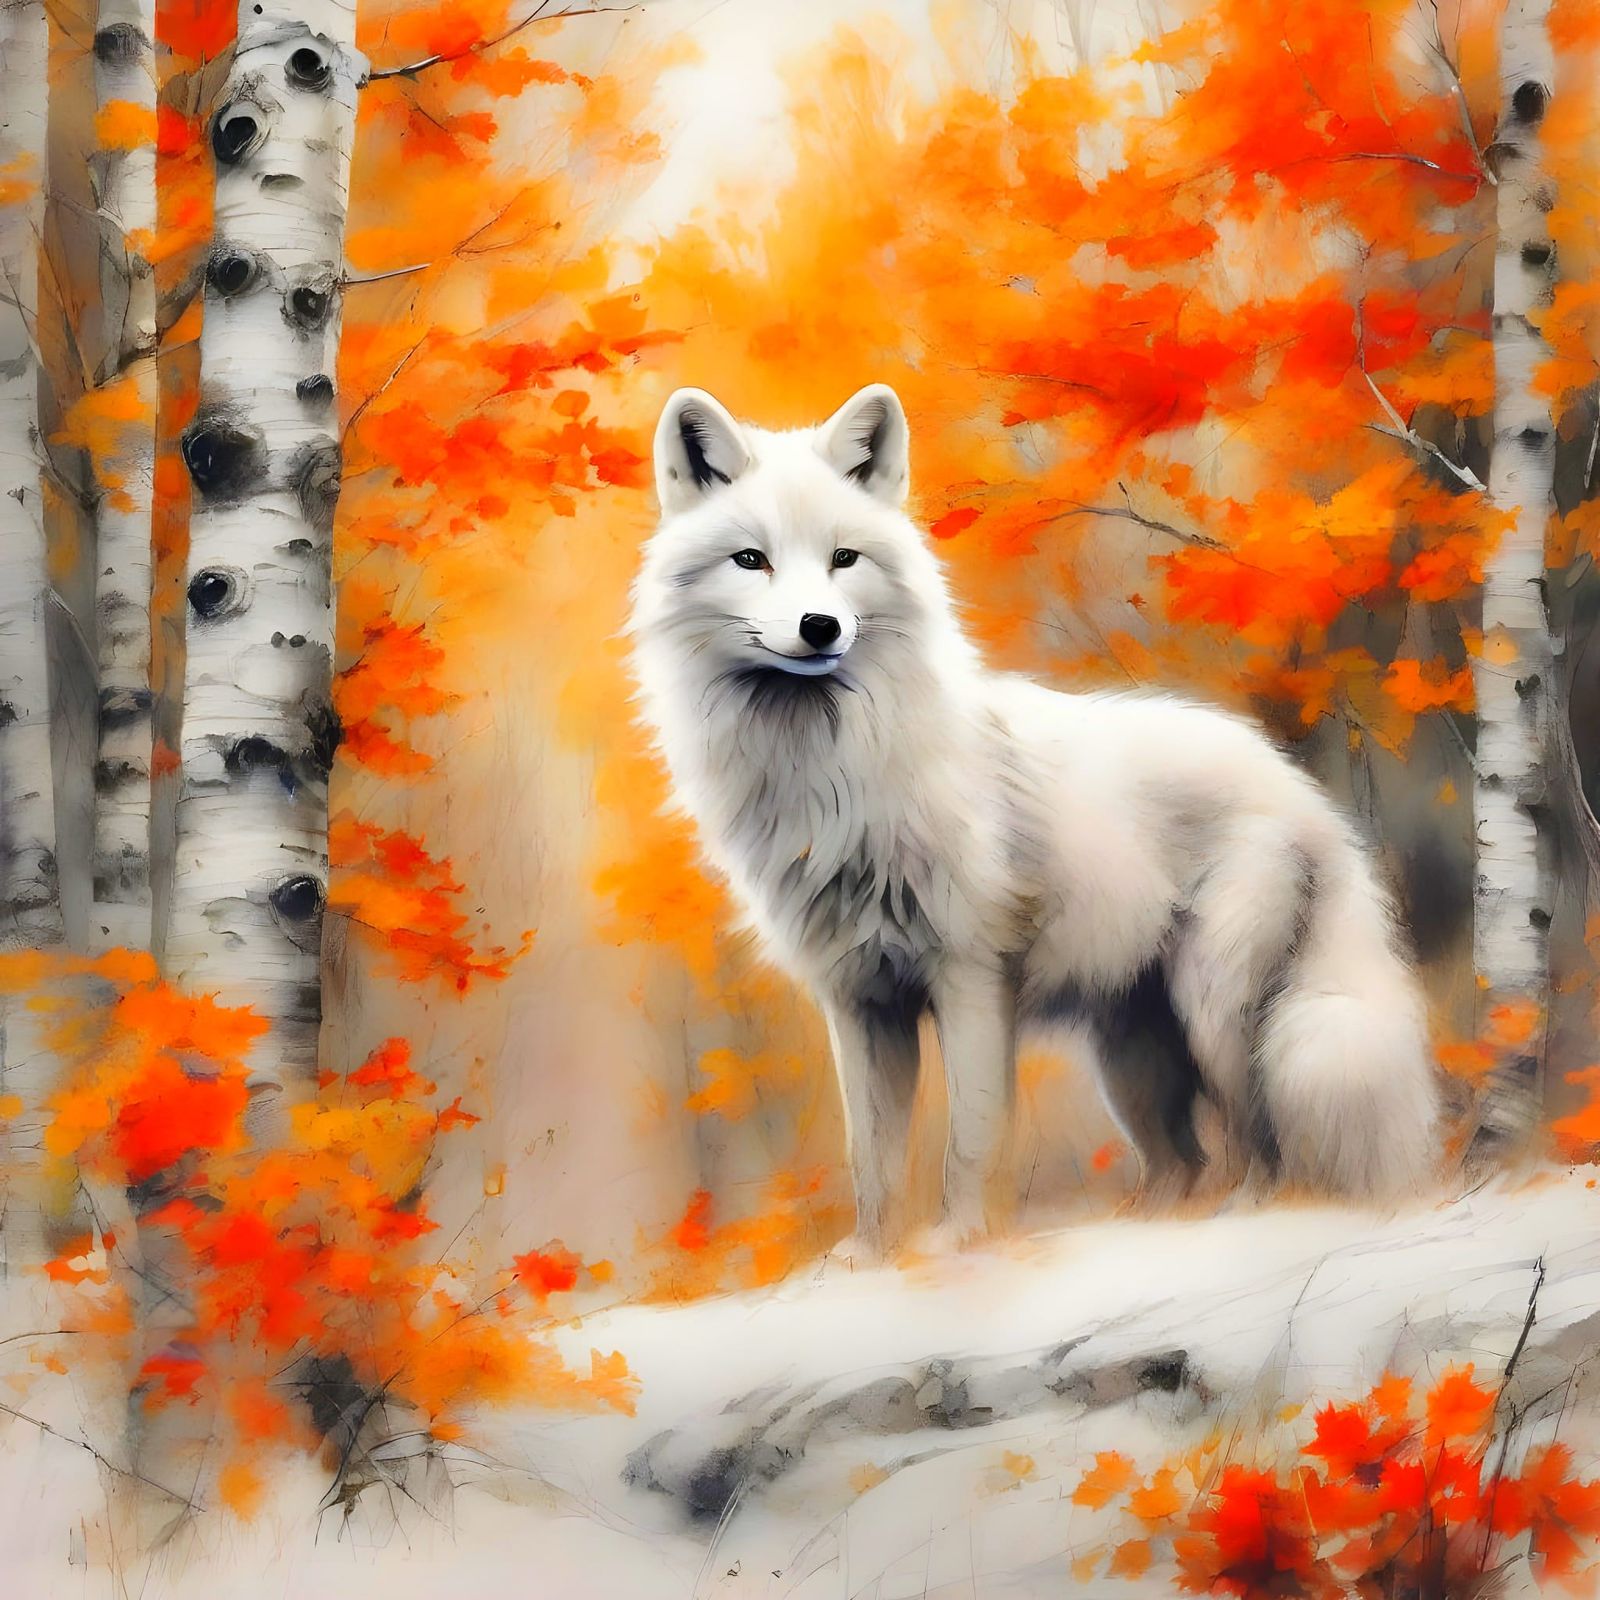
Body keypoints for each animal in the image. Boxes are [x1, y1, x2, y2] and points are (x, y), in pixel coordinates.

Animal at [629, 382, 1441, 1261]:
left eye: (844, 559)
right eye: (752, 560)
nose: (821, 627)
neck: (829, 779)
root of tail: (1308, 797)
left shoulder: (972, 976)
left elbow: (971, 1139)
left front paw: (959, 1243)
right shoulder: (859, 1000)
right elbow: (871, 1156)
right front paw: (873, 1258)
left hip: (1214, 1011)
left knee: (1260, 1137)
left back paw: (1245, 1216)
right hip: (1130, 1057)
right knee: (1182, 1161)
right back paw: (1151, 1225)